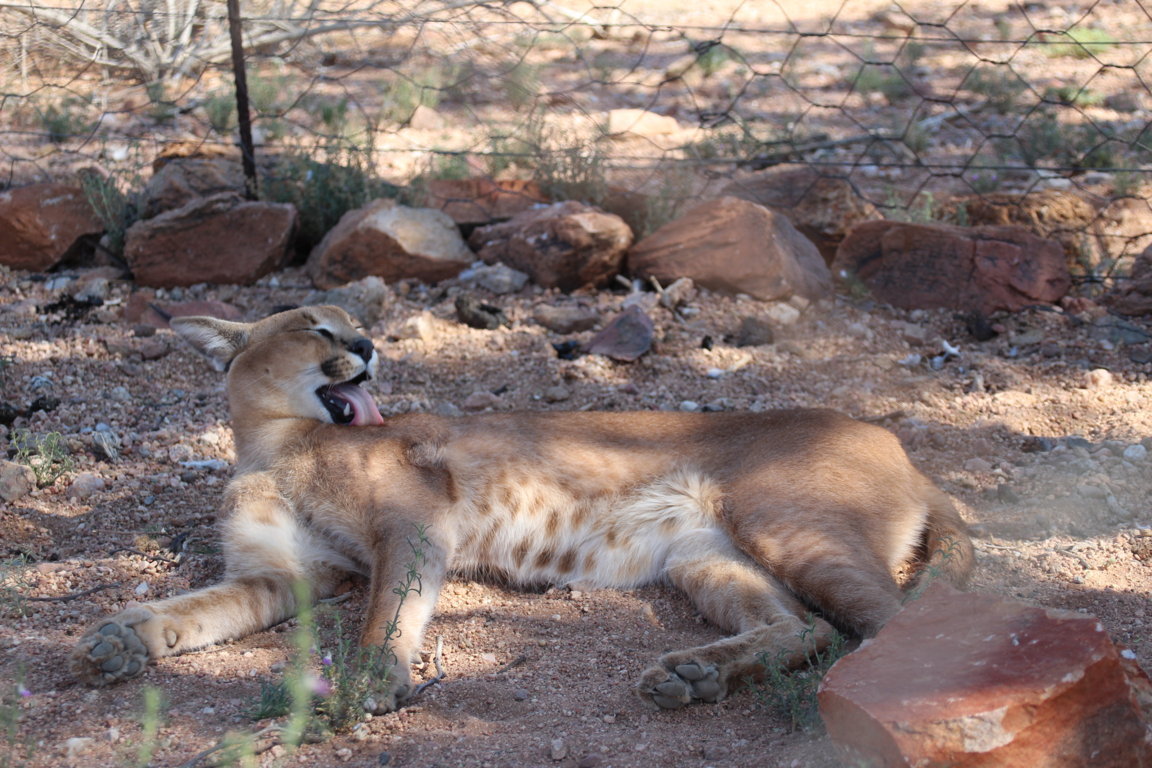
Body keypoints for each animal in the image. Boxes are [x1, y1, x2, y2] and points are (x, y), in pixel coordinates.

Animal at [71, 304, 973, 711]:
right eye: (314, 326)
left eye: (353, 325)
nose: (365, 346)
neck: (272, 442)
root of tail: (897, 444)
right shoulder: (286, 573)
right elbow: (194, 608)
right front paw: (124, 639)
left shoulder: (413, 525)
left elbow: (387, 610)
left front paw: (371, 678)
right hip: (705, 555)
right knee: (806, 627)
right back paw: (695, 675)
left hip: (783, 522)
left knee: (899, 623)